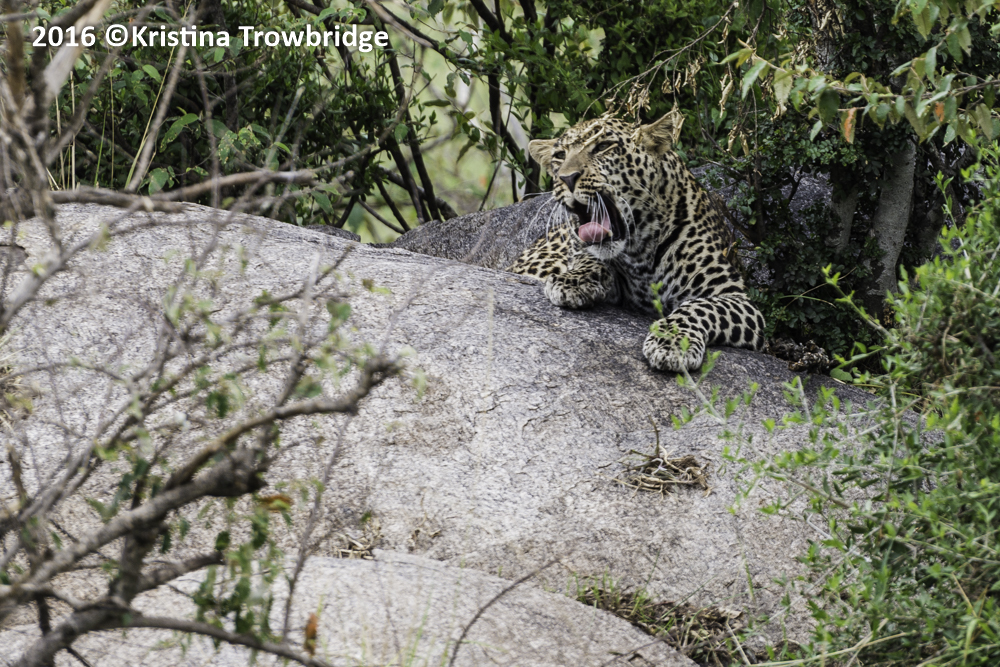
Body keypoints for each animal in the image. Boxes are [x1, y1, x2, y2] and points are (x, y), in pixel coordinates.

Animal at [508, 111, 766, 372]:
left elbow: (700, 307)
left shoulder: (738, 298)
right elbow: (587, 258)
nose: (567, 178)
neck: (641, 250)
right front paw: (574, 279)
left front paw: (670, 342)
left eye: (603, 147)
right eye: (560, 156)